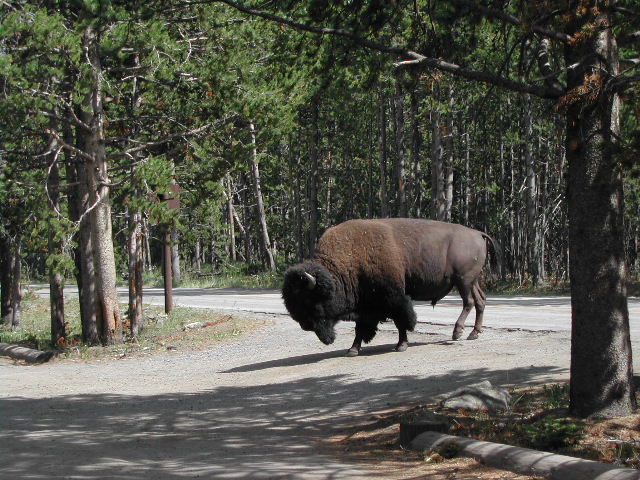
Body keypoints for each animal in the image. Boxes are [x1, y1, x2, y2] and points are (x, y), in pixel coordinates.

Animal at [284, 218, 500, 356]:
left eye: (309, 299)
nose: (305, 325)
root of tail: (478, 233)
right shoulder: (366, 305)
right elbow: (361, 328)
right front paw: (352, 350)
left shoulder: (394, 298)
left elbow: (401, 321)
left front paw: (401, 345)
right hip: (471, 281)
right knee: (480, 301)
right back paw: (473, 334)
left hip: (463, 280)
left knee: (468, 302)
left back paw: (458, 332)